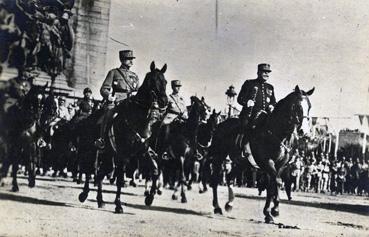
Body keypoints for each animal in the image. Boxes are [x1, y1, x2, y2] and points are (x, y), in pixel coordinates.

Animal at [80, 61, 169, 213]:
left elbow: (155, 170)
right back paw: (84, 194)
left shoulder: (142, 152)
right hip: (92, 150)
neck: (137, 119)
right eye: (152, 81)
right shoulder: (123, 155)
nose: (164, 101)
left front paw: (150, 197)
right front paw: (118, 205)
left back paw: (100, 200)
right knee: (89, 169)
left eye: (165, 81)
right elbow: (120, 179)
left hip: (108, 155)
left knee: (101, 173)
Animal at [207, 86, 314, 223]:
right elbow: (276, 182)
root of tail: (221, 124)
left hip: (242, 163)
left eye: (309, 106)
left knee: (230, 177)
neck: (277, 133)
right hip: (219, 156)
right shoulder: (267, 162)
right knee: (215, 179)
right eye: (297, 106)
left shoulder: (281, 165)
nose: (304, 132)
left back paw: (229, 204)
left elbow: (272, 185)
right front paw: (273, 210)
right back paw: (217, 207)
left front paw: (270, 212)